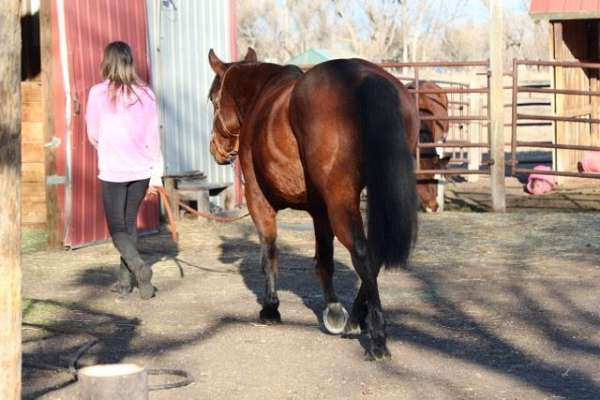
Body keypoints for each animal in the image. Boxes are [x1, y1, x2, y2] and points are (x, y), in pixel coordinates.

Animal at [209, 48, 420, 360]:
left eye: (213, 98)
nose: (216, 150)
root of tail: (365, 76)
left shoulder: (259, 200)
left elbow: (269, 251)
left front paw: (270, 307)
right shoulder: (319, 210)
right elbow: (324, 259)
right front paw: (333, 310)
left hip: (341, 199)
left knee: (362, 252)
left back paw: (377, 339)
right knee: (375, 252)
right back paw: (355, 321)